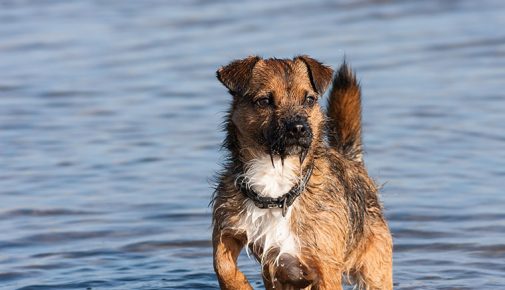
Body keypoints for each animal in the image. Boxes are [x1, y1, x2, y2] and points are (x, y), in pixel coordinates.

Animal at [211, 55, 392, 288]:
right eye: (264, 101)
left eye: (309, 100)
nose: (298, 127)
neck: (277, 188)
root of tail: (351, 161)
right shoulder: (227, 227)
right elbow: (222, 265)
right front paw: (241, 286)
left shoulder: (326, 268)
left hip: (375, 270)